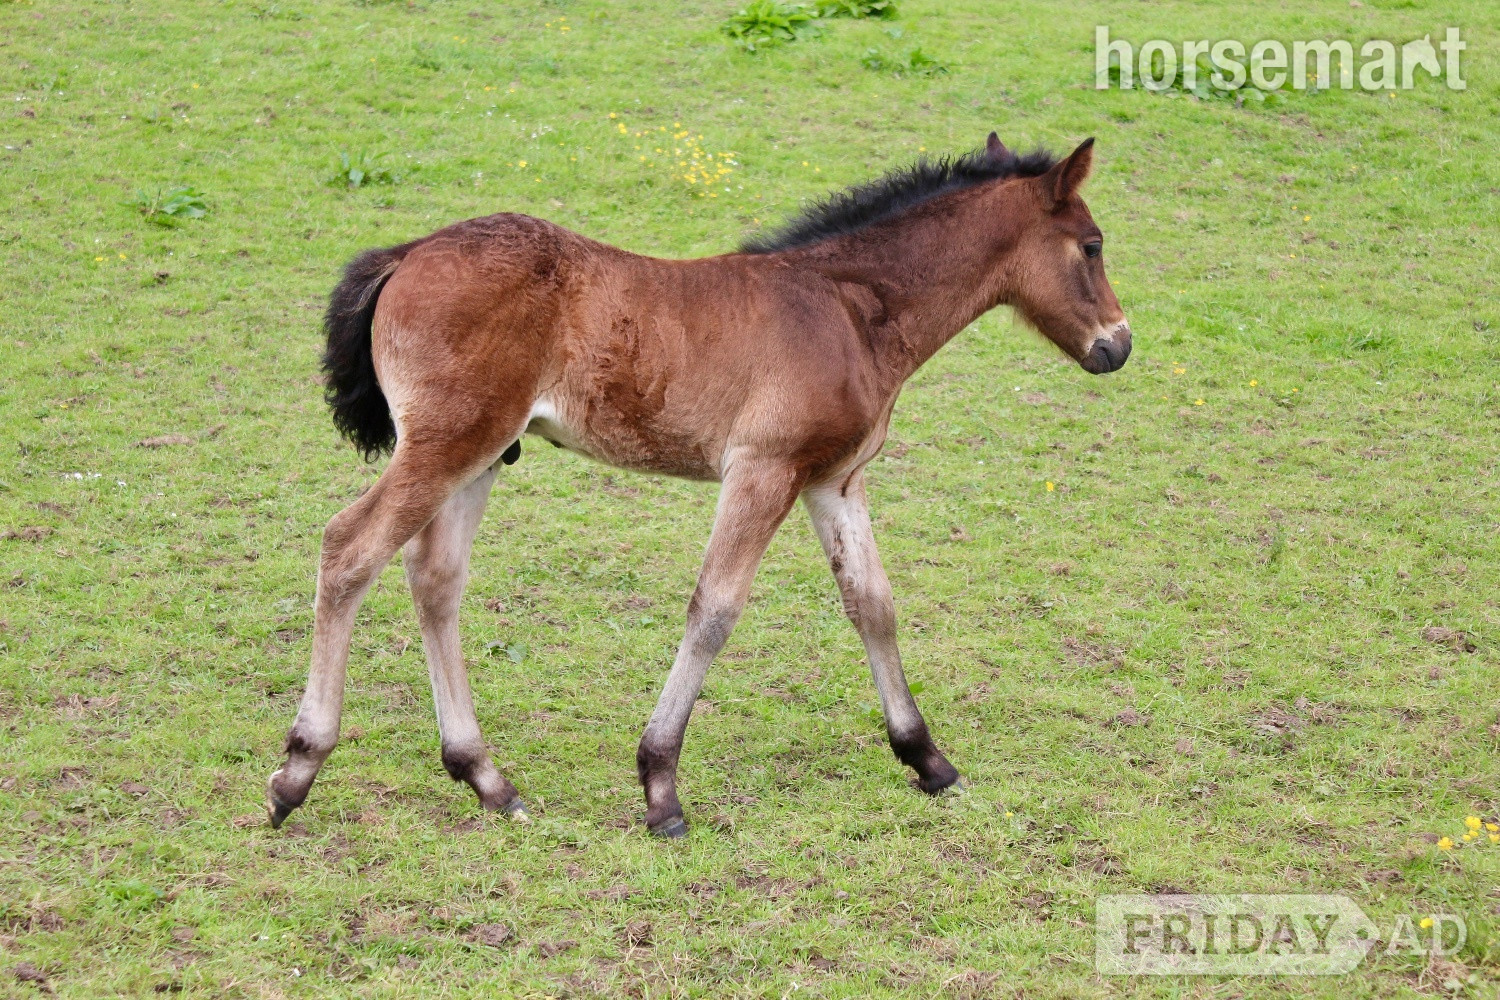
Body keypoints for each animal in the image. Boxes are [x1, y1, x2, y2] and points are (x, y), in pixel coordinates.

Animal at [267, 132, 1131, 838]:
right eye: (1091, 245)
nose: (1117, 347)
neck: (847, 308)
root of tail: (408, 252)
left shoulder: (834, 480)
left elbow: (873, 605)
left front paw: (927, 759)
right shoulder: (763, 469)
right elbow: (714, 609)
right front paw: (660, 789)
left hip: (480, 455)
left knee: (435, 579)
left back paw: (486, 778)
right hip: (447, 444)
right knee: (350, 549)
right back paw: (298, 769)